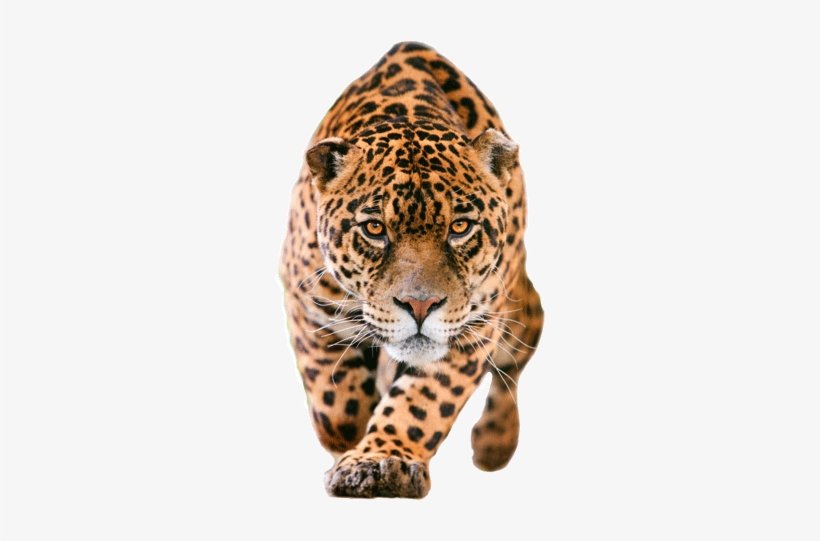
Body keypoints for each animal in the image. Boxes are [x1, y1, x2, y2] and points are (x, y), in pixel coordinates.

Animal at [280, 41, 543, 498]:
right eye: (374, 229)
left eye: (460, 227)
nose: (420, 306)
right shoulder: (307, 302)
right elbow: (336, 402)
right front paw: (352, 444)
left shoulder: (475, 326)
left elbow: (423, 402)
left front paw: (383, 460)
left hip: (520, 311)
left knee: (516, 360)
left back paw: (494, 444)